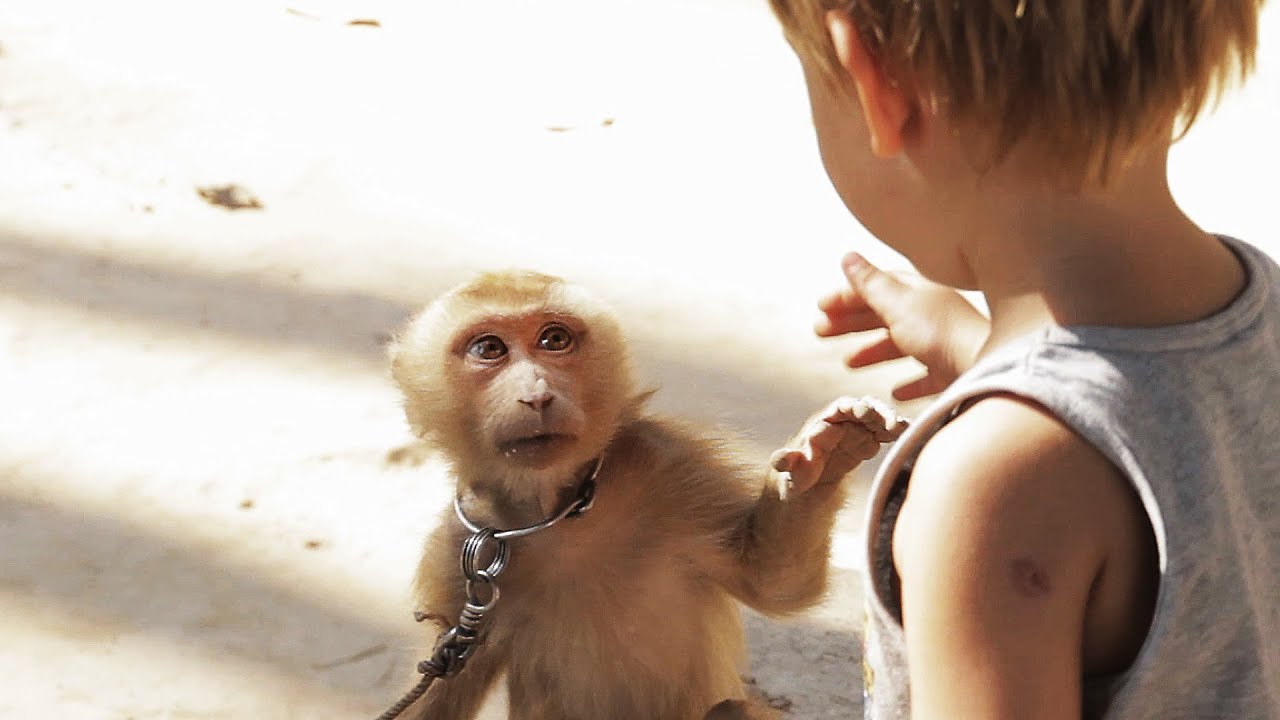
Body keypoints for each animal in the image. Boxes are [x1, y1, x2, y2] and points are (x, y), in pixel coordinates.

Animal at [386, 269, 907, 720]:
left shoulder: (668, 466)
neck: (563, 510)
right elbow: (440, 696)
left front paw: (826, 457)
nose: (537, 394)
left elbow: (774, 582)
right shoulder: (459, 551)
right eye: (489, 348)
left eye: (554, 340)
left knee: (731, 710)